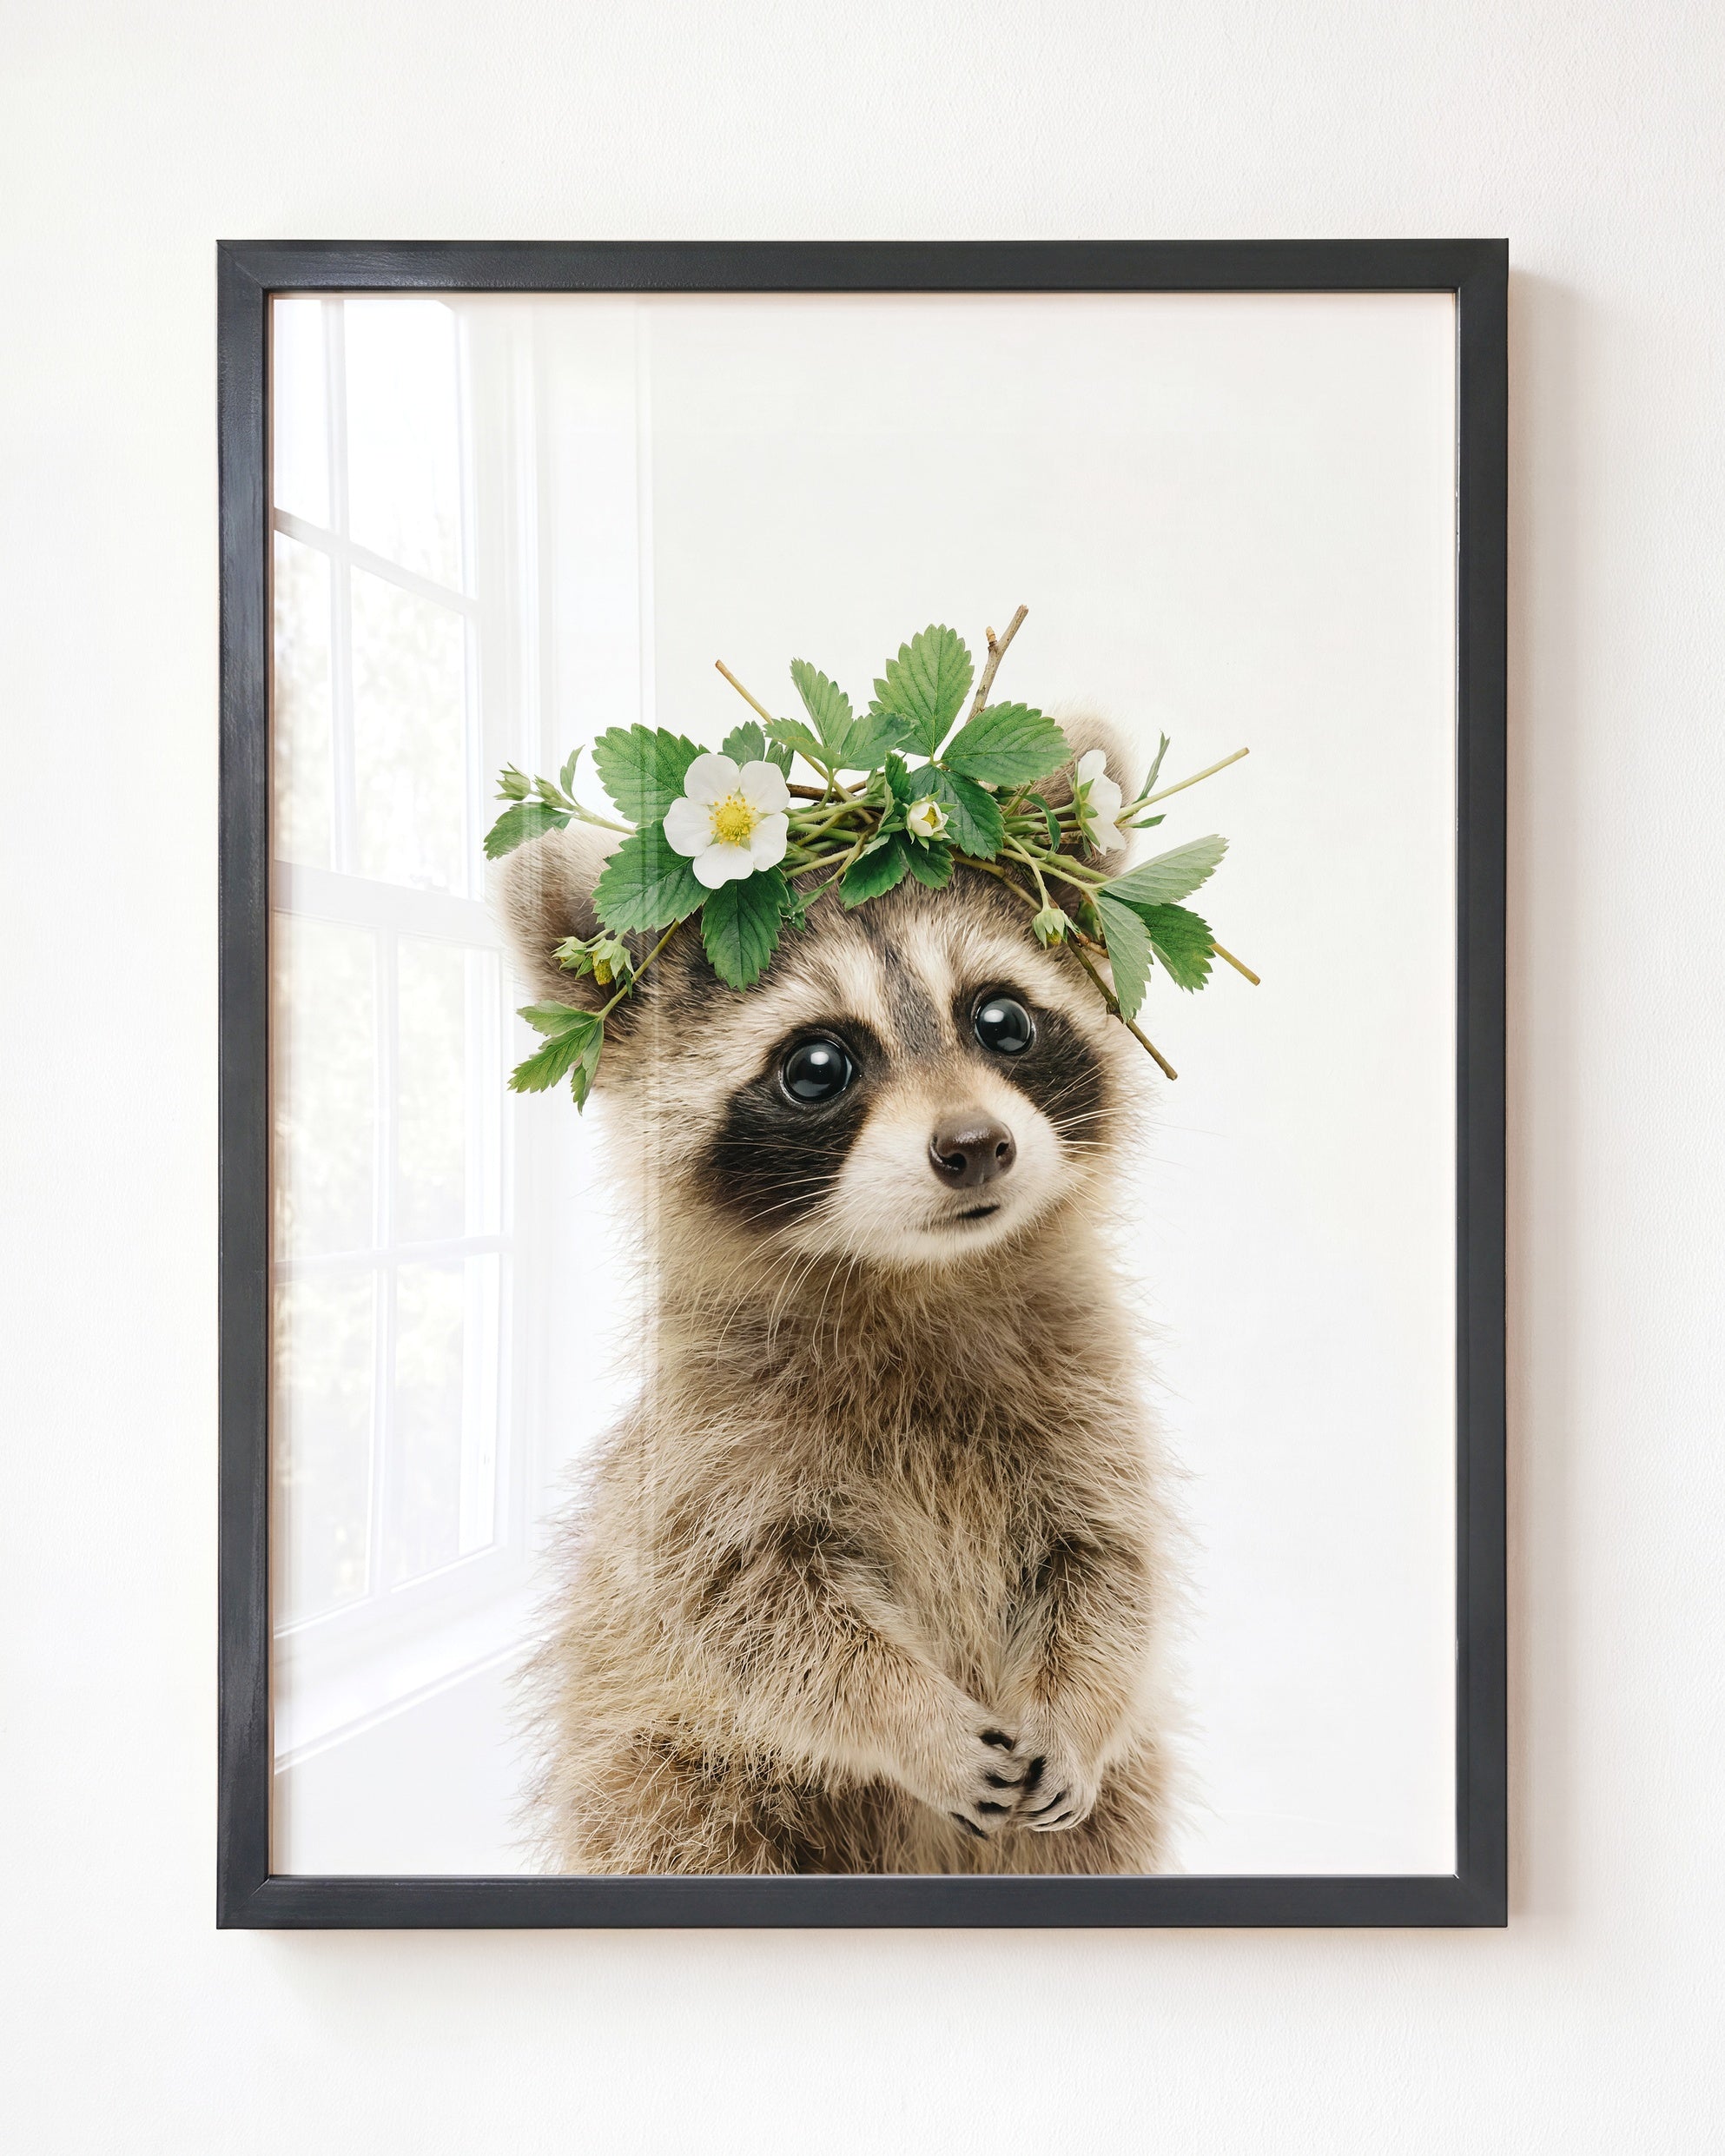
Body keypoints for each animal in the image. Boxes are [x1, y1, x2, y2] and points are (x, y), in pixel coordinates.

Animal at [496, 723, 1181, 1874]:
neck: (918, 1277)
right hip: (667, 1775)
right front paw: (911, 1717)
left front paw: (1079, 1704)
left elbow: (1110, 1569)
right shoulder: (708, 1452)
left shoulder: (1089, 1400)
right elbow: (759, 1616)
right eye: (818, 1064)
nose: (975, 1146)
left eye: (1002, 1019)